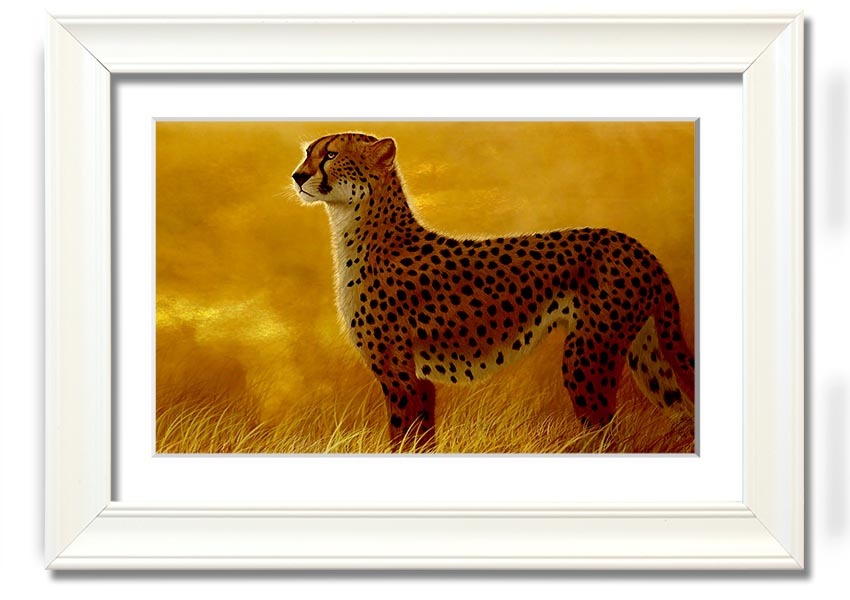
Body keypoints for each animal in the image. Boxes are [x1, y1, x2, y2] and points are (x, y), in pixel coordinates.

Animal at [291, 132, 695, 448]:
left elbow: (403, 440)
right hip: (645, 353)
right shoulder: (419, 379)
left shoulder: (400, 376)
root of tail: (635, 244)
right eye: (308, 152)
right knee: (682, 411)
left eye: (330, 155)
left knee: (606, 434)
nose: (297, 176)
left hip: (588, 356)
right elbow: (420, 441)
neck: (358, 226)